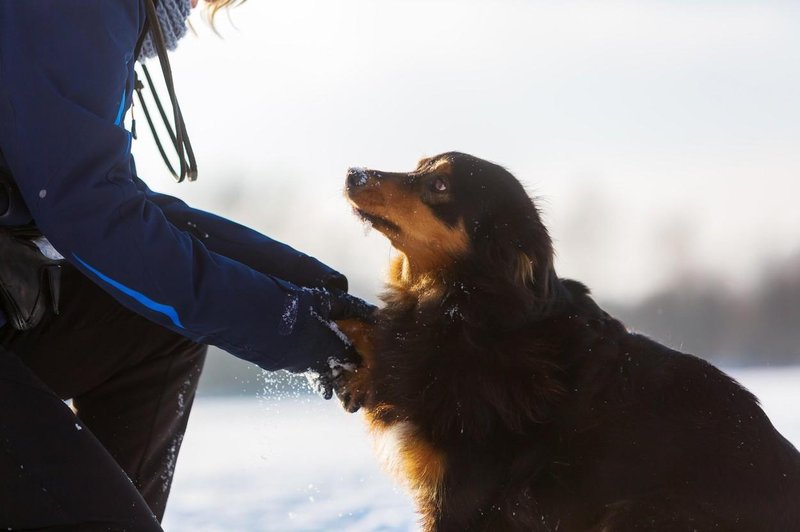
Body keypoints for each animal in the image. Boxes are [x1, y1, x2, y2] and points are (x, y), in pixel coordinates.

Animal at [332, 152, 800, 528]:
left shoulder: (464, 496)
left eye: (440, 185)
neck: (473, 308)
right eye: (418, 165)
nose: (354, 173)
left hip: (638, 513)